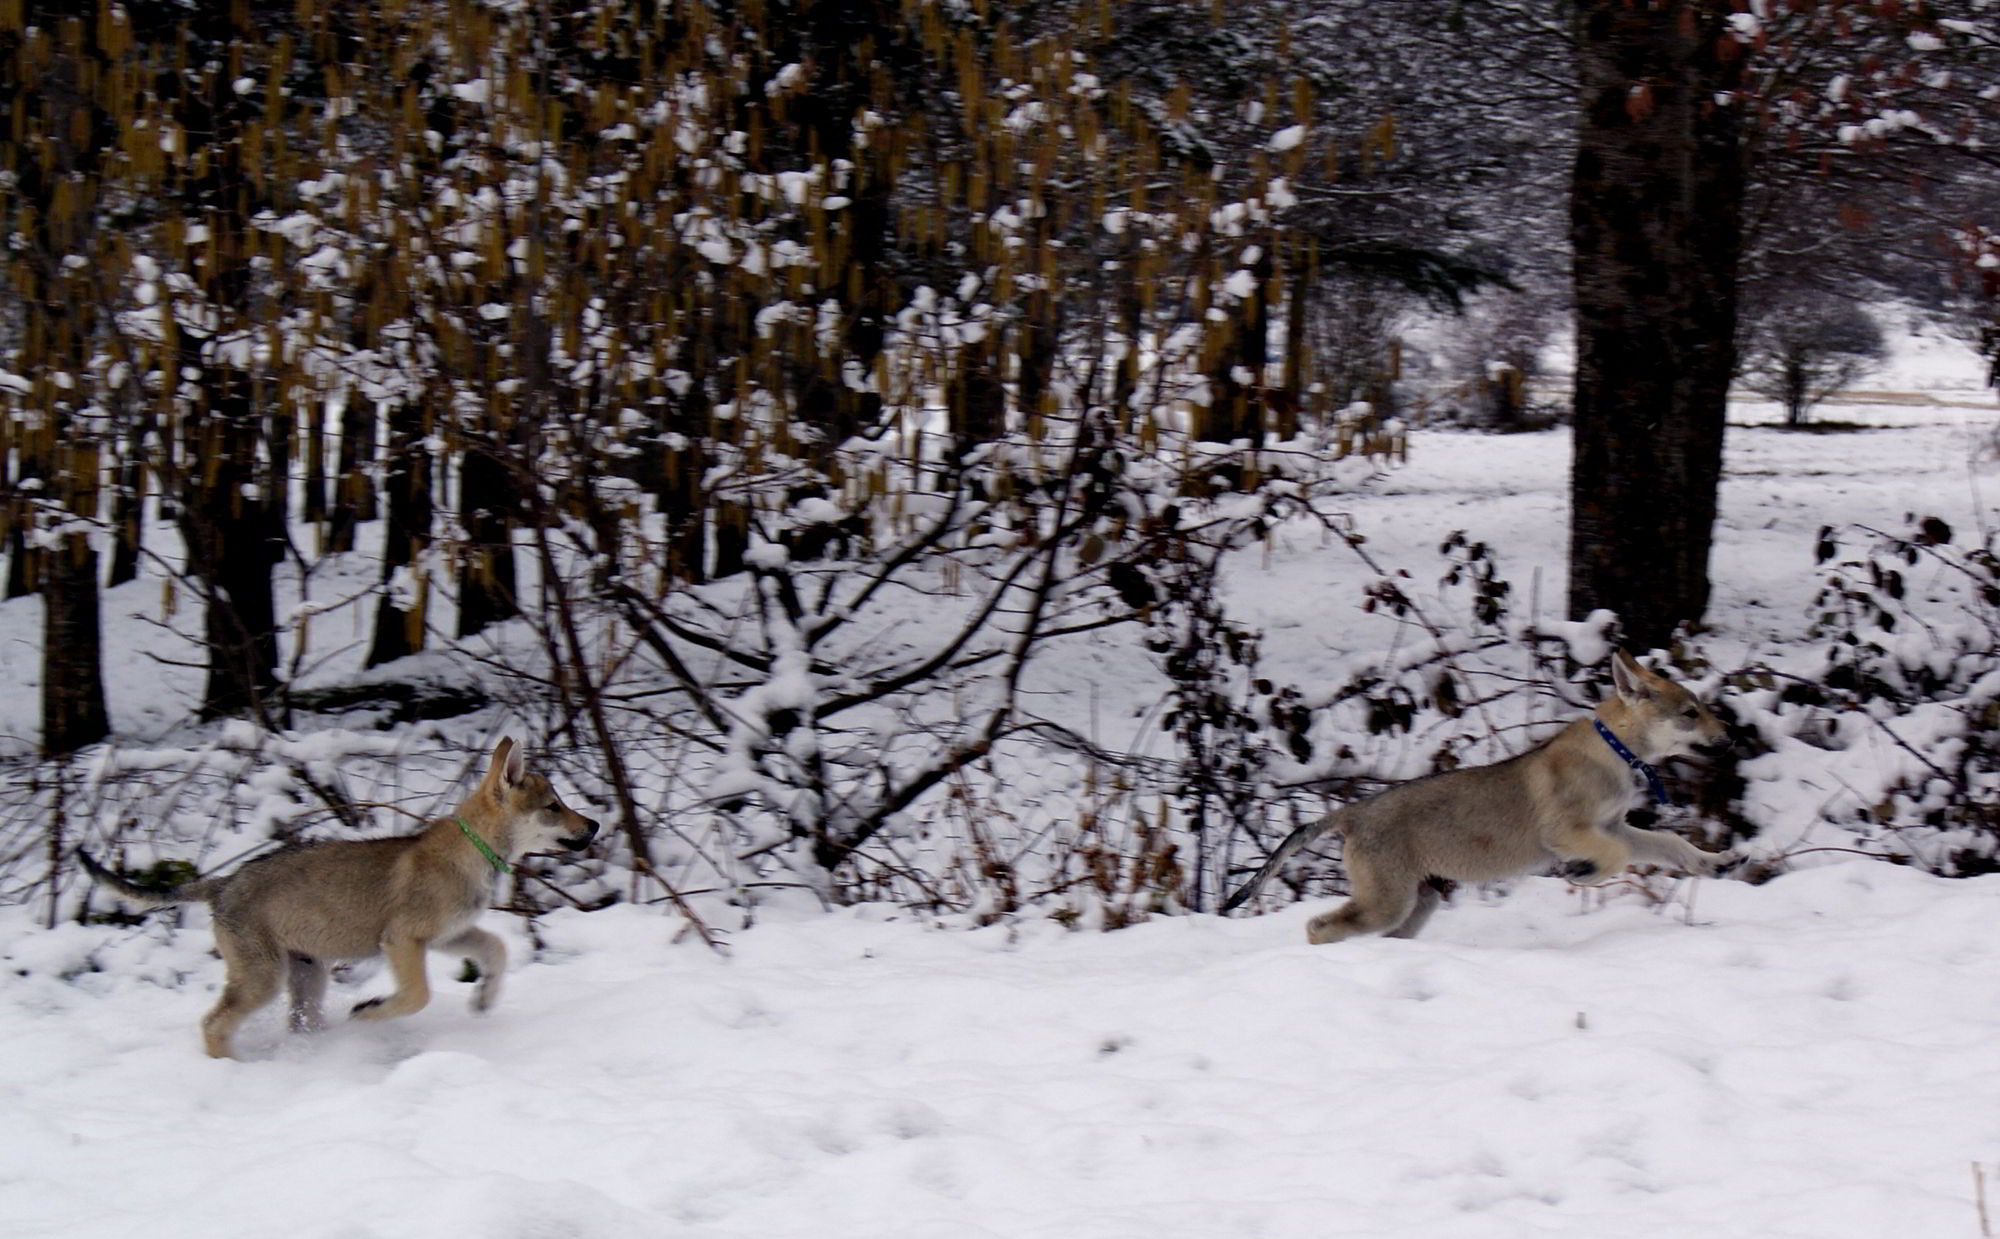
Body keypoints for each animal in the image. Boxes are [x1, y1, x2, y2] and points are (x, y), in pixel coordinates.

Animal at [78, 737, 598, 1058]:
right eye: (553, 807)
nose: (594, 825)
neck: (473, 849)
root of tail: (221, 883)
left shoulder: (449, 935)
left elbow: (497, 949)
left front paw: (484, 1001)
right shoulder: (403, 941)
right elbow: (418, 995)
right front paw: (369, 1014)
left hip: (306, 978)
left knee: (292, 1024)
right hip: (262, 978)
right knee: (213, 1023)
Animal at [1222, 650, 1733, 944]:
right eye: (1690, 713)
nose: (1728, 738)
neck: (1615, 751)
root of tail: (1352, 814)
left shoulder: (1611, 825)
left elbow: (1668, 845)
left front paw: (1718, 863)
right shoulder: (1568, 830)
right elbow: (1618, 856)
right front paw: (1582, 873)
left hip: (1416, 902)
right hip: (1387, 900)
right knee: (1319, 927)